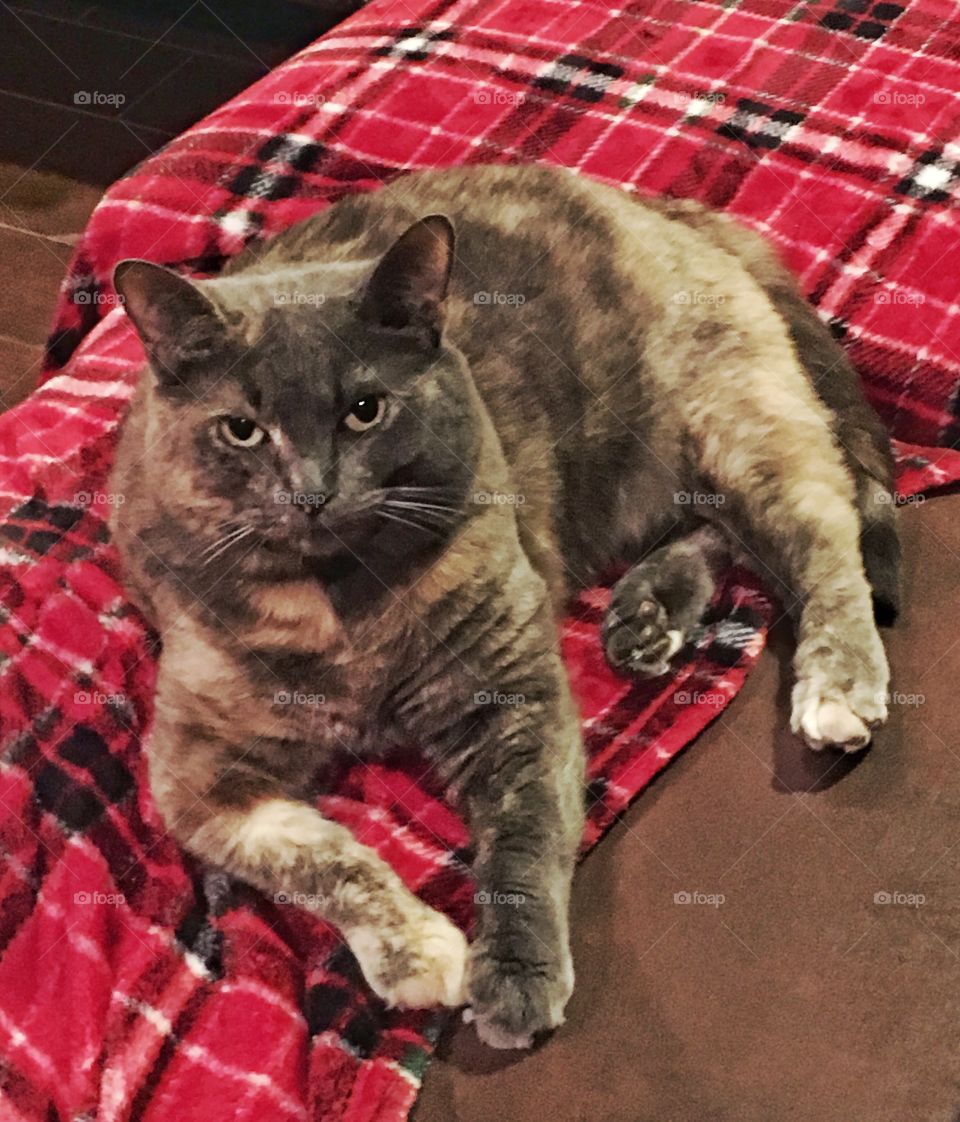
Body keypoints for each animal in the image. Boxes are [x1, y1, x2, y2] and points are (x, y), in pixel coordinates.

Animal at [112, 166, 901, 1050]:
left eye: (365, 409)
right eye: (242, 430)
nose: (311, 492)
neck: (344, 606)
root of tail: (653, 204)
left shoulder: (514, 697)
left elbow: (523, 843)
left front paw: (516, 976)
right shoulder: (196, 777)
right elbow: (318, 860)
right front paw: (416, 952)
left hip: (737, 426)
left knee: (824, 538)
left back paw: (836, 686)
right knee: (715, 530)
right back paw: (649, 614)